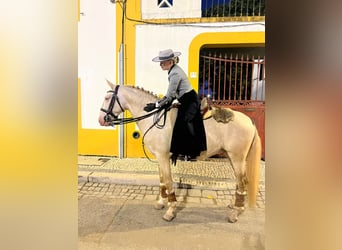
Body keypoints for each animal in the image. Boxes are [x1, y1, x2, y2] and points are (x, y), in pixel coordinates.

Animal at [99, 81, 262, 223]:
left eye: (107, 98)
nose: (101, 119)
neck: (155, 119)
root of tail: (249, 121)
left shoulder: (163, 157)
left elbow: (169, 181)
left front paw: (170, 210)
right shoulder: (159, 158)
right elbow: (162, 180)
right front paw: (161, 202)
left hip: (237, 158)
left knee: (242, 182)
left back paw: (236, 212)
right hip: (231, 156)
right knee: (239, 182)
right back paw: (234, 205)